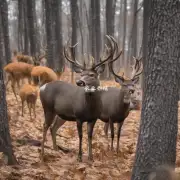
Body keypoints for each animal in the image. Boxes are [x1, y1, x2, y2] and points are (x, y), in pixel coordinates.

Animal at [39, 34, 116, 162]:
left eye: (92, 75)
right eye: (81, 74)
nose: (79, 82)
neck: (89, 107)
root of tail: (42, 87)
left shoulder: (93, 118)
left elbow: (90, 135)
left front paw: (91, 157)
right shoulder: (78, 116)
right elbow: (80, 135)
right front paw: (79, 157)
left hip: (61, 114)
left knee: (53, 127)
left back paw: (56, 149)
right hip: (48, 108)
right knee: (45, 126)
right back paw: (42, 154)